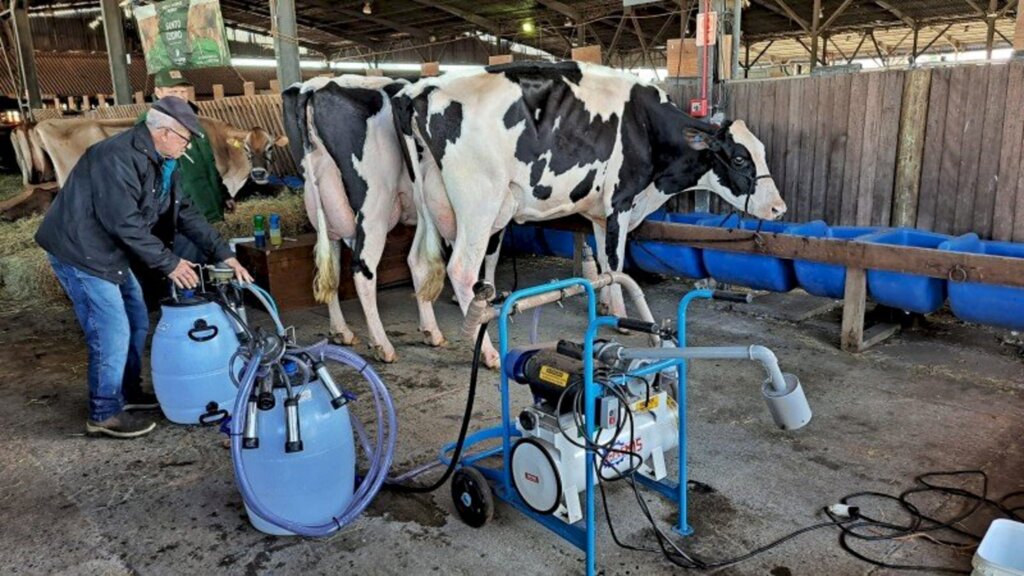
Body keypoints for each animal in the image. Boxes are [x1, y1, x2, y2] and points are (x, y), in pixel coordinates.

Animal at [391, 60, 782, 364]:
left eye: (762, 151)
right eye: (739, 158)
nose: (779, 207)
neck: (647, 126)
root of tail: (421, 88)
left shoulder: (599, 213)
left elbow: (605, 263)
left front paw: (607, 306)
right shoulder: (621, 200)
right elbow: (617, 261)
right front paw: (624, 318)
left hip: (426, 200)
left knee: (418, 262)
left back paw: (431, 332)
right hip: (479, 202)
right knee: (460, 269)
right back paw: (486, 352)